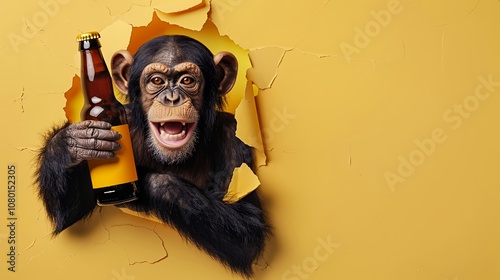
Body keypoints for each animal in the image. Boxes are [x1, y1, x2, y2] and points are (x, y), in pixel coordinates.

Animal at [36, 34, 270, 276]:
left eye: (187, 81)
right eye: (157, 81)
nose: (172, 98)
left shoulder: (235, 139)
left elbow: (247, 227)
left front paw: (141, 183)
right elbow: (68, 213)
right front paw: (70, 143)